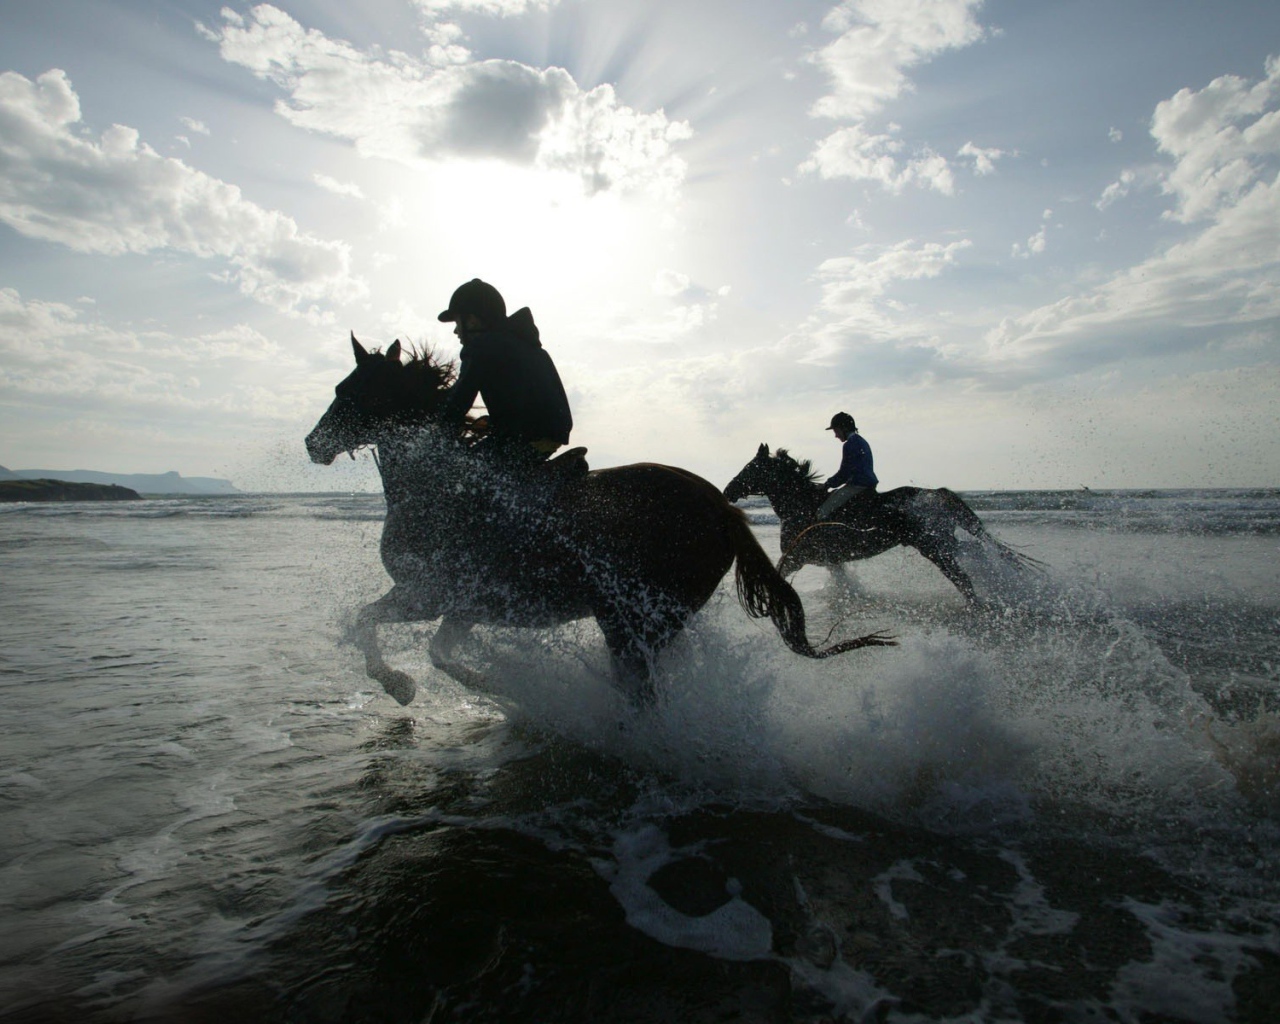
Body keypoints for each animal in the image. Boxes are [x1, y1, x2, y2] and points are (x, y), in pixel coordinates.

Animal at [305, 336, 894, 706]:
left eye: (348, 390)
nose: (314, 443)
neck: (438, 487)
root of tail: (723, 508)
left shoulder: (428, 593)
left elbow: (367, 621)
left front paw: (400, 684)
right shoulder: (463, 606)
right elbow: (435, 650)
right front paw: (492, 684)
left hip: (635, 620)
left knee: (642, 690)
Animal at [723, 444, 1041, 603]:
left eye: (751, 467)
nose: (728, 490)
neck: (801, 506)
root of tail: (935, 494)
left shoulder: (798, 557)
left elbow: (778, 573)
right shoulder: (830, 560)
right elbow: (843, 582)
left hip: (932, 547)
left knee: (962, 578)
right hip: (944, 541)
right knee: (972, 554)